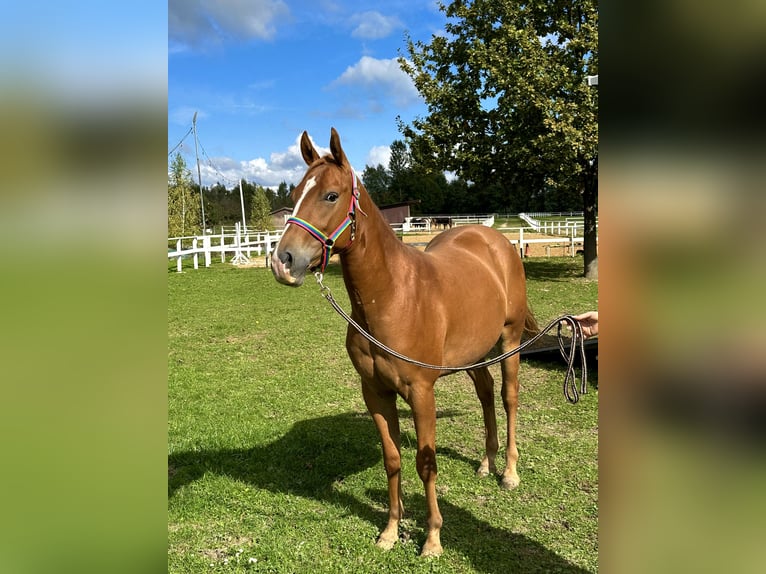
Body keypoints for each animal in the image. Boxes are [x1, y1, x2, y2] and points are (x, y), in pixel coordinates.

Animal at [272, 127, 536, 560]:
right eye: (295, 193)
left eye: (330, 195)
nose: (283, 261)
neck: (394, 297)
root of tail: (495, 240)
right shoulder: (376, 392)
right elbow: (393, 460)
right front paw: (390, 532)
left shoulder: (421, 392)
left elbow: (426, 464)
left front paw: (432, 539)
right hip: (474, 354)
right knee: (485, 393)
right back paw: (486, 462)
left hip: (508, 339)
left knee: (508, 397)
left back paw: (509, 473)